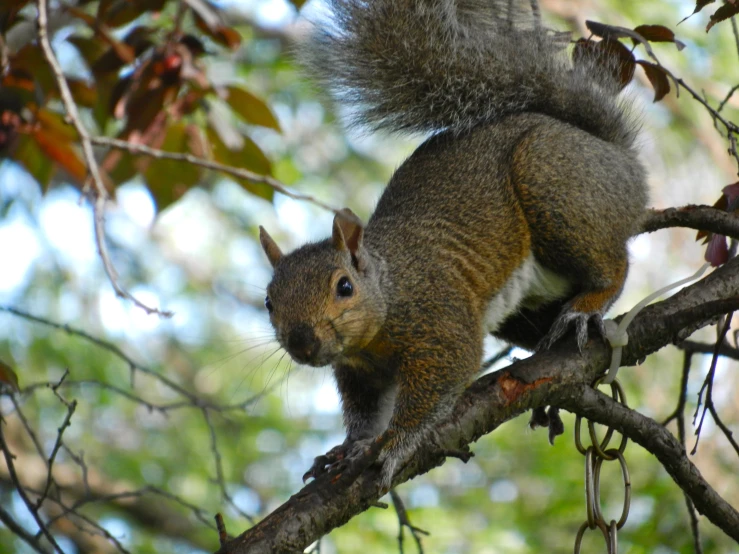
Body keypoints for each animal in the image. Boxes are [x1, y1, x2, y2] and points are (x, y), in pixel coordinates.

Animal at [258, 0, 648, 486]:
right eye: (269, 302)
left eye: (344, 286)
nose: (302, 343)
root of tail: (620, 160)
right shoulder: (359, 374)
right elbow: (364, 414)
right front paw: (349, 447)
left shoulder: (439, 318)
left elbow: (448, 372)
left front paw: (393, 446)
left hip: (551, 182)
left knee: (615, 266)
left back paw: (587, 306)